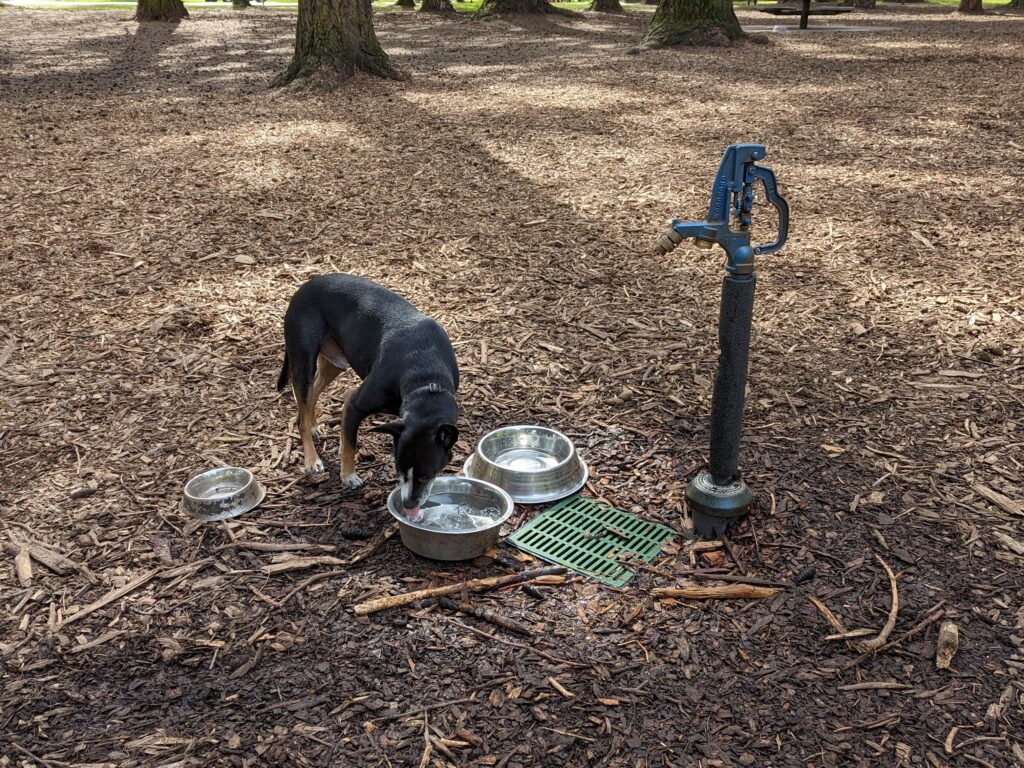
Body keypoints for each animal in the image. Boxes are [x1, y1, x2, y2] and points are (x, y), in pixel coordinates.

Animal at [276, 274, 460, 520]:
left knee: (310, 399)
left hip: (335, 362)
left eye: (426, 475)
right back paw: (312, 459)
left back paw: (313, 425)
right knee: (302, 409)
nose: (409, 504)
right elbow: (350, 445)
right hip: (303, 359)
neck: (426, 378)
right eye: (400, 470)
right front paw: (348, 477)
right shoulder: (354, 404)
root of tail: (305, 286)